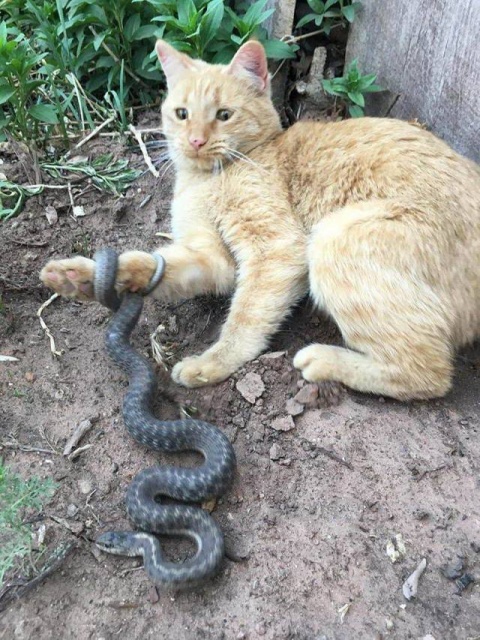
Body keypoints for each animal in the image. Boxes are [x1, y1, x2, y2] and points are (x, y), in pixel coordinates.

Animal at [41, 40, 480, 398]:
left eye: (224, 115)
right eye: (182, 113)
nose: (196, 140)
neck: (208, 179)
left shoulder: (276, 249)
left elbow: (245, 318)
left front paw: (211, 363)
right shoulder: (211, 259)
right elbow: (151, 263)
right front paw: (82, 277)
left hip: (334, 238)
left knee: (428, 374)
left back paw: (324, 361)